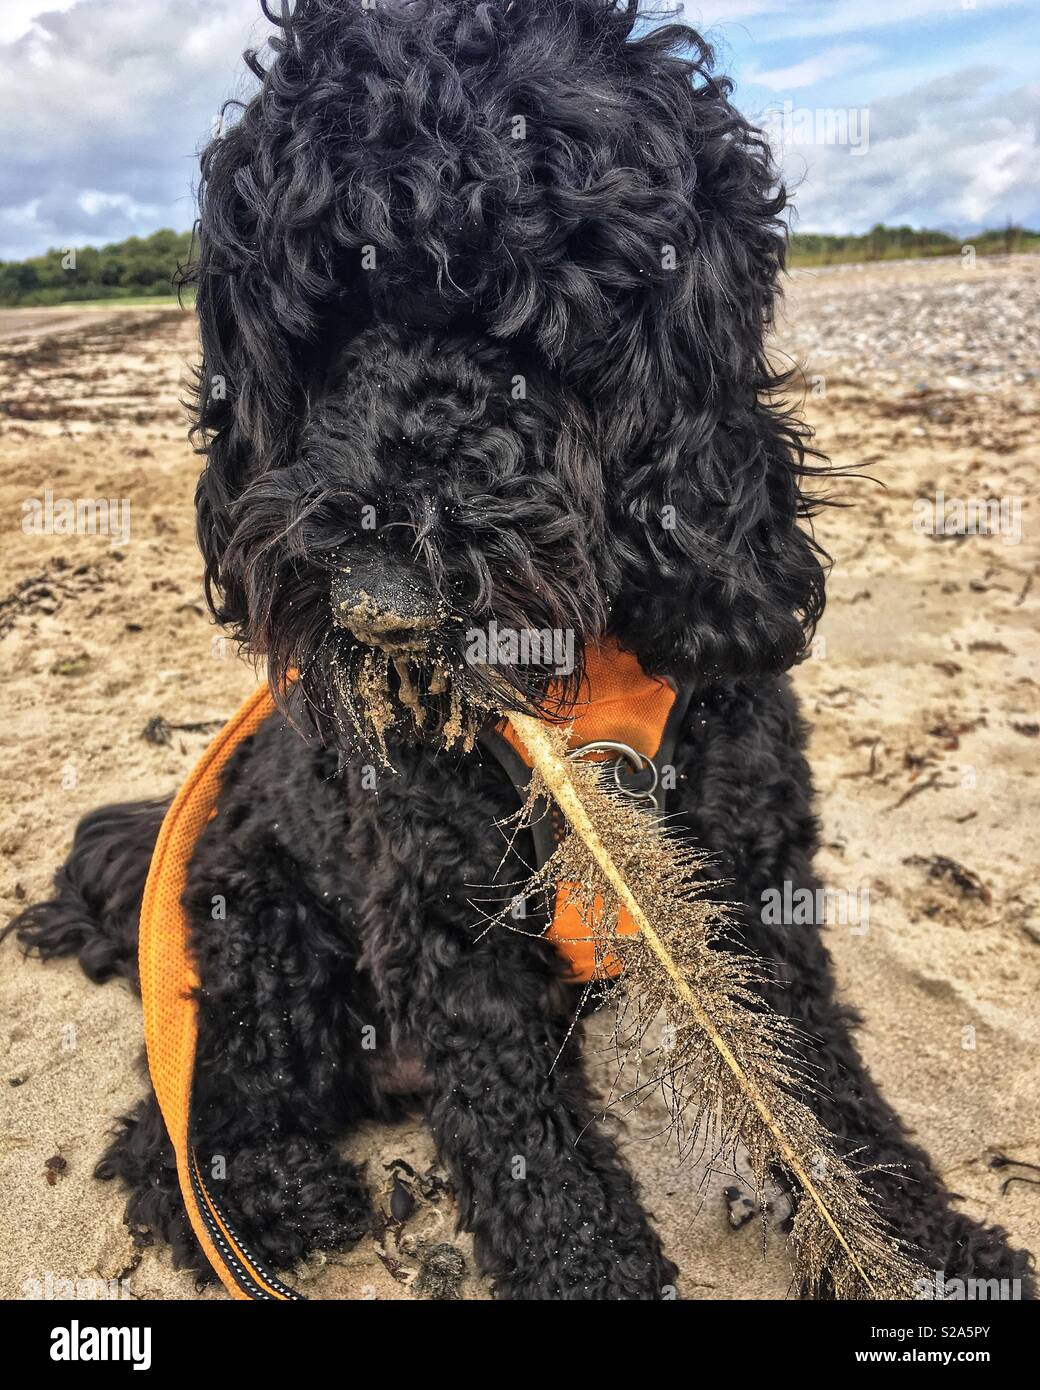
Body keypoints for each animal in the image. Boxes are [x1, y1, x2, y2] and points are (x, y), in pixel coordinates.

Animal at [10, 2, 1034, 1301]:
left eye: (537, 333)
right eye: (321, 331)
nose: (377, 596)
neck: (576, 684)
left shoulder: (751, 894)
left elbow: (815, 1092)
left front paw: (914, 1245)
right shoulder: (454, 938)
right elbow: (533, 1167)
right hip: (265, 934)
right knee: (177, 1129)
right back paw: (271, 1195)